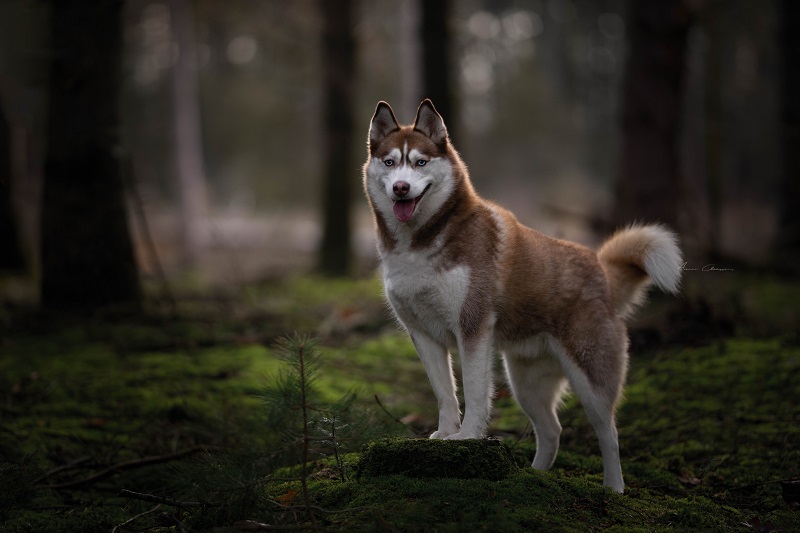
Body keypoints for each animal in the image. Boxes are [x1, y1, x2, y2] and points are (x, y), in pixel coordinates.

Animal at [362, 98, 680, 490]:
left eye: (420, 162)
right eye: (390, 162)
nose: (401, 188)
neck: (418, 245)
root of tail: (600, 270)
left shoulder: (473, 328)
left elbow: (474, 392)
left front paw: (468, 437)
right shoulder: (422, 334)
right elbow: (445, 393)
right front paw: (445, 434)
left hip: (592, 380)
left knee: (609, 434)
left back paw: (614, 489)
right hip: (526, 384)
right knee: (552, 431)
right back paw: (535, 476)